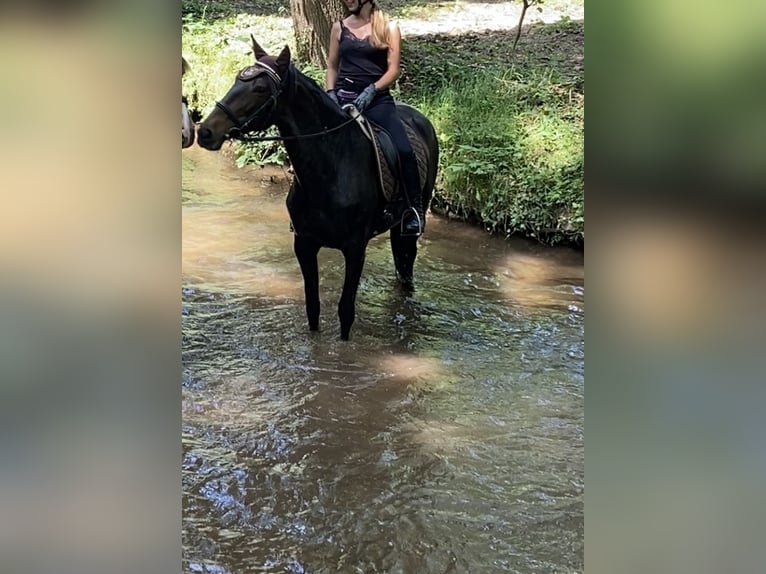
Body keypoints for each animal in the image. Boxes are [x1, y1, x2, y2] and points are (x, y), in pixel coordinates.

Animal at [195, 38, 440, 340]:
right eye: (236, 79)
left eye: (260, 88)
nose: (205, 132)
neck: (331, 166)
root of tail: (420, 118)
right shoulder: (305, 244)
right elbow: (313, 307)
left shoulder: (355, 248)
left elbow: (346, 312)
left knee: (406, 266)